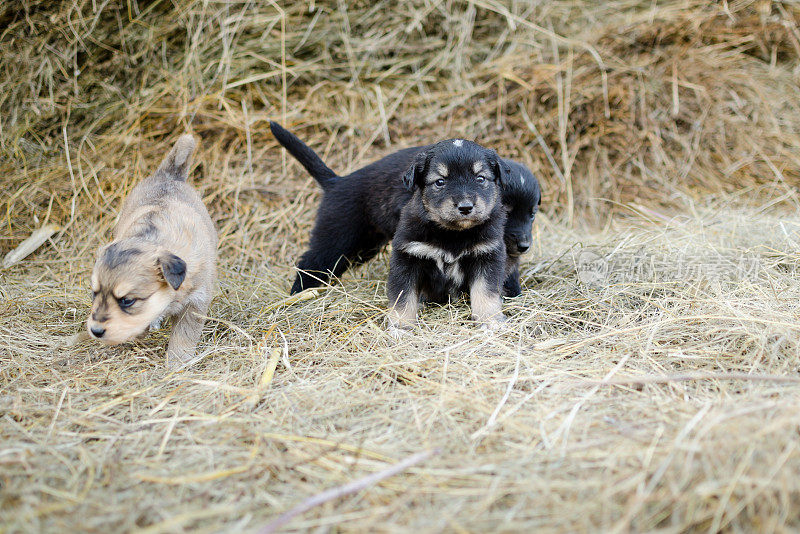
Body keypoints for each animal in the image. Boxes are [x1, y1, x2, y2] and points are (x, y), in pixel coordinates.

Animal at [87, 134, 217, 370]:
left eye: (127, 301)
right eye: (94, 293)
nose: (96, 331)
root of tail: (169, 176)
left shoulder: (195, 303)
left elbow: (183, 337)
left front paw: (176, 364)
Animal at [268, 122, 536, 298]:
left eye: (532, 214)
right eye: (507, 211)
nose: (524, 245)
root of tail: (337, 181)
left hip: (364, 246)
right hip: (336, 236)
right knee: (310, 261)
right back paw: (299, 294)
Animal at [386, 140, 506, 332]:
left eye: (480, 178)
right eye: (440, 182)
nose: (465, 207)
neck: (453, 234)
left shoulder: (487, 255)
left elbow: (486, 292)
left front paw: (490, 320)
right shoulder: (407, 255)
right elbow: (403, 295)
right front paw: (400, 325)